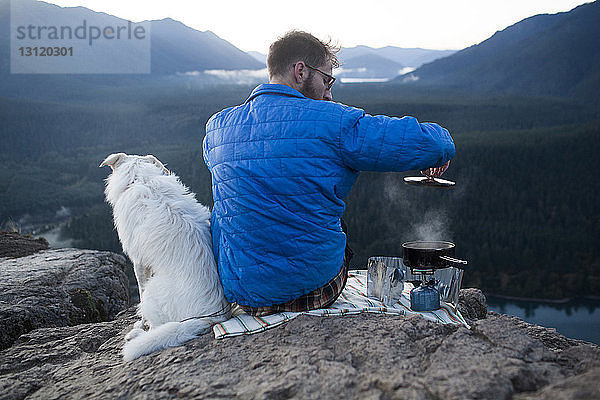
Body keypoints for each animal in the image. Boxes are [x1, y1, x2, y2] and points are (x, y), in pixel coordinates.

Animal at [99, 152, 231, 360]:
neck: (140, 179)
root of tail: (212, 318)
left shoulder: (139, 262)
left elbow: (140, 292)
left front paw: (139, 322)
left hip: (153, 293)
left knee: (156, 324)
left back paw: (138, 334)